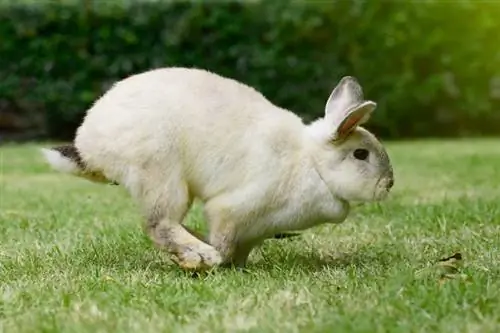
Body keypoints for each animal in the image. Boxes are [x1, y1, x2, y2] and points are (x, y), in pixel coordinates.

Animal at [40, 67, 394, 270]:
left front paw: (237, 266)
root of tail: (89, 145)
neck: (312, 163)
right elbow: (223, 240)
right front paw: (217, 262)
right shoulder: (231, 211)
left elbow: (240, 251)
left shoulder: (254, 230)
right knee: (159, 224)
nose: (388, 184)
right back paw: (199, 256)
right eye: (360, 154)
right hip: (162, 175)